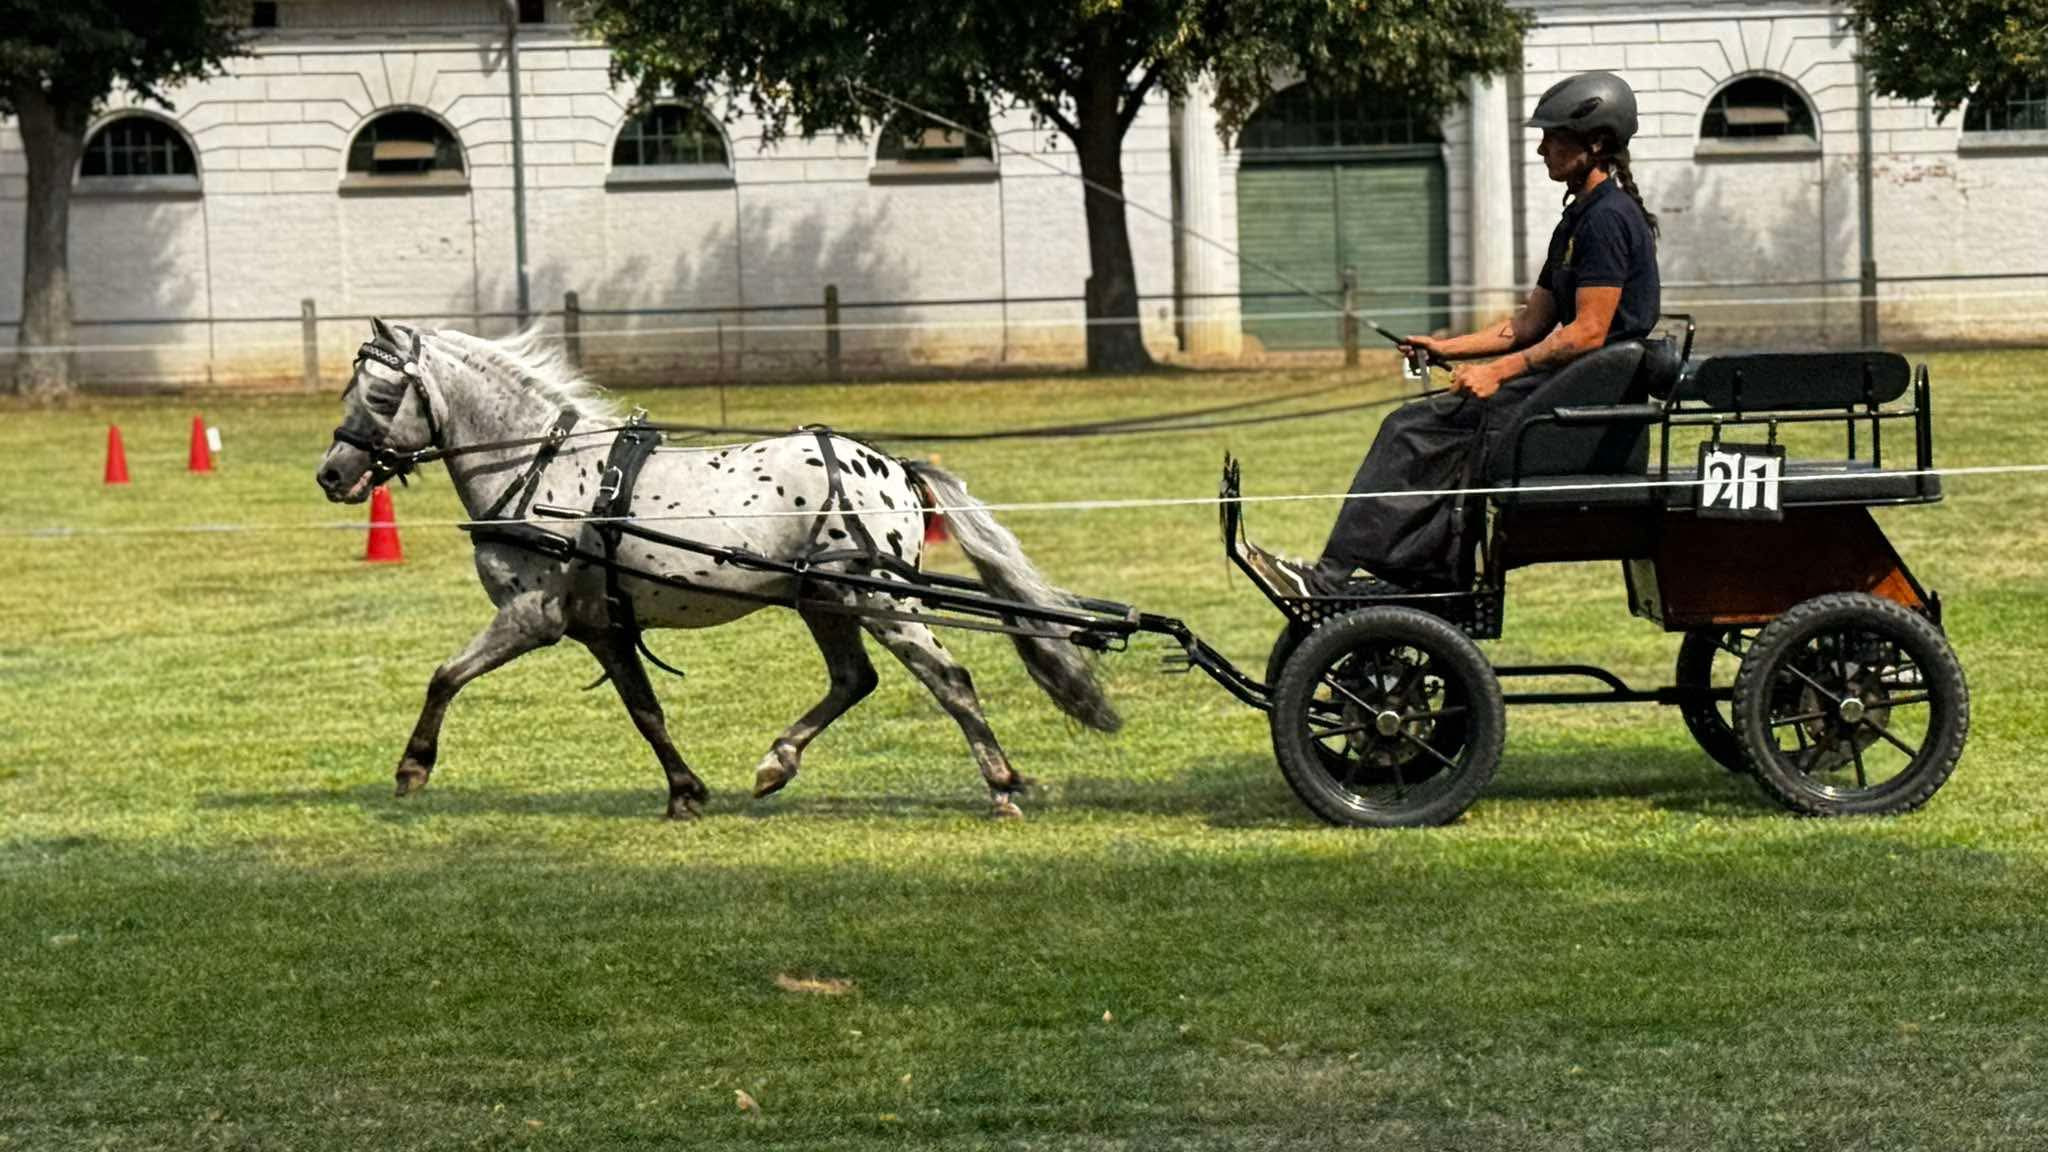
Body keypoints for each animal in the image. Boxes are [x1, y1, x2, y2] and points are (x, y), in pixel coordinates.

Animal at [315, 319, 1119, 820]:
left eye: (380, 394)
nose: (332, 475)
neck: (537, 468)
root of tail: (892, 465)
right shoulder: (601, 627)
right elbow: (645, 711)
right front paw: (685, 791)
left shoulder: (529, 616)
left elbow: (445, 676)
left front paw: (413, 767)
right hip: (825, 600)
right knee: (853, 680)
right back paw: (776, 763)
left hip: (883, 601)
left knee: (948, 679)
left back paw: (1002, 785)